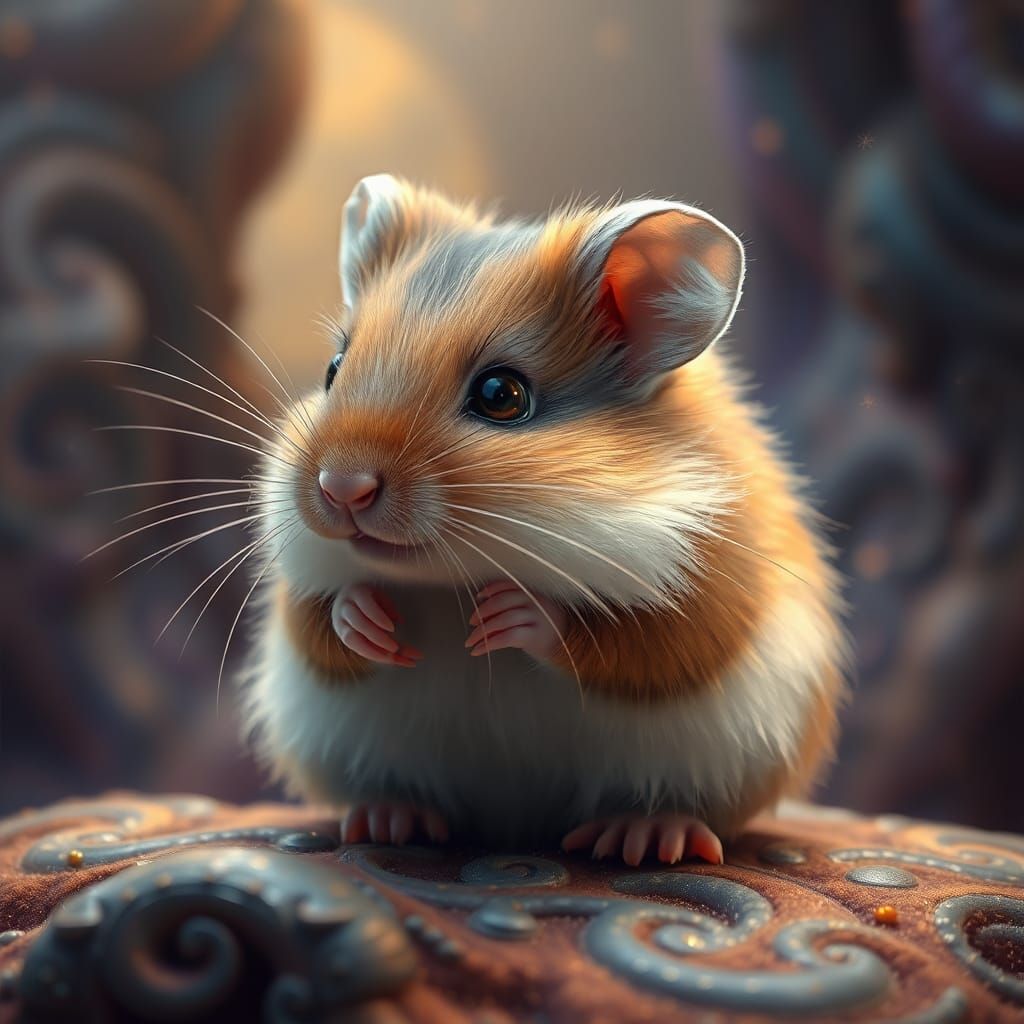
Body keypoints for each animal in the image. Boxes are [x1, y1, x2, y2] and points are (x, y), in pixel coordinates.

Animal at [243, 173, 844, 865]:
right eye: (333, 370)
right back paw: (389, 820)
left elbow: (633, 638)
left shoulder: (706, 586)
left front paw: (502, 617)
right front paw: (369, 620)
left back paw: (641, 838)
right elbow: (319, 621)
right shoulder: (299, 603)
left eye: (502, 395)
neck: (451, 582)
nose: (340, 489)